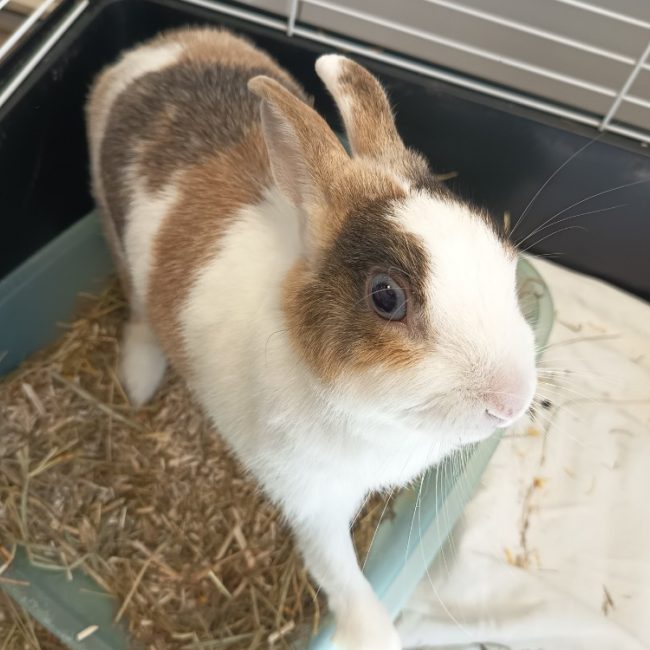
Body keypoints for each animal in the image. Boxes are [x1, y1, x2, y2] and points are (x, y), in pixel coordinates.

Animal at [86, 27, 537, 650]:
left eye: (497, 244)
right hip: (112, 231)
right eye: (386, 296)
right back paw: (138, 378)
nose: (511, 402)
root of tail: (158, 46)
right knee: (136, 309)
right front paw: (374, 635)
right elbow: (339, 573)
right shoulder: (311, 502)